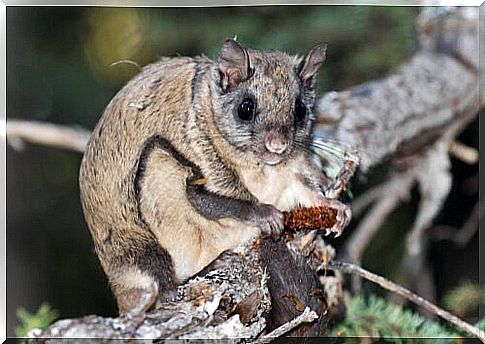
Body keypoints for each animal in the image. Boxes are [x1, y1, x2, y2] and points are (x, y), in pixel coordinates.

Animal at [81, 39, 350, 316]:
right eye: (245, 108)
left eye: (300, 110)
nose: (277, 145)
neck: (262, 170)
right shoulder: (200, 161)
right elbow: (216, 202)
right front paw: (267, 215)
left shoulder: (291, 178)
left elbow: (307, 192)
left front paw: (336, 209)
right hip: (155, 187)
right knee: (165, 289)